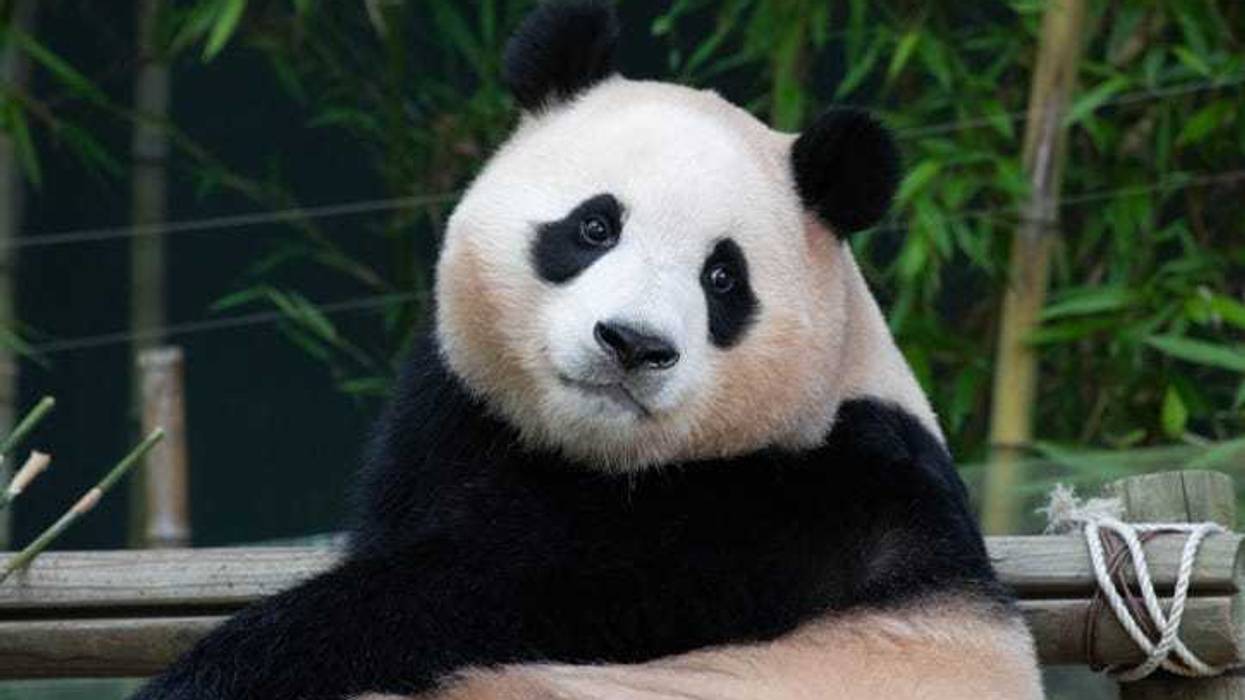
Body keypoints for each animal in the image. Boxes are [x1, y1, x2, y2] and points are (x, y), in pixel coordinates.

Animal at [135, 2, 1043, 699]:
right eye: (595, 226)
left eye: (723, 278)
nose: (633, 344)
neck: (603, 459)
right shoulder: (458, 419)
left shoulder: (784, 516)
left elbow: (472, 596)